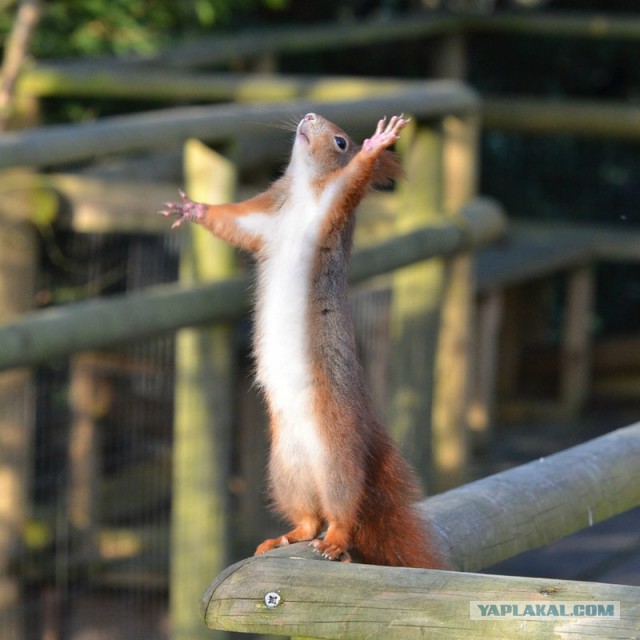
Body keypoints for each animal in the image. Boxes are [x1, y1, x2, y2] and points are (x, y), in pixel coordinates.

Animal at [160, 113, 443, 568]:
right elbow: (227, 220)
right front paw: (193, 208)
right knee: (310, 518)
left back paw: (335, 542)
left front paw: (377, 144)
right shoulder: (262, 223)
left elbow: (352, 181)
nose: (309, 116)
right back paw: (284, 537)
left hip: (338, 458)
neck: (300, 195)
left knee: (342, 513)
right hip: (285, 469)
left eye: (342, 141)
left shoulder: (331, 210)